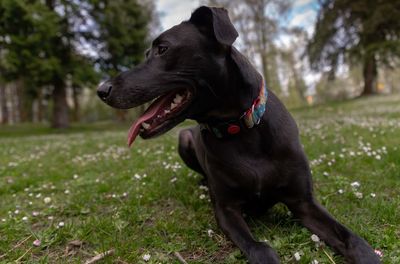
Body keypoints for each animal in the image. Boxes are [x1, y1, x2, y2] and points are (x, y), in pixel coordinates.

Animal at [98, 6, 380, 264]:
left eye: (162, 49)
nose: (101, 90)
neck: (241, 129)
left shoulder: (304, 203)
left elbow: (352, 239)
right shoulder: (227, 210)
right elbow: (260, 248)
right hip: (183, 139)